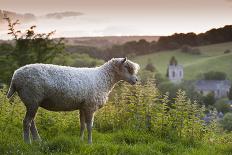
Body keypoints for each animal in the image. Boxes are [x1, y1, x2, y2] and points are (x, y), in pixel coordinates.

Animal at [6, 57, 140, 143]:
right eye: (127, 67)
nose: (136, 80)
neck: (103, 78)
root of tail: (15, 77)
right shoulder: (90, 106)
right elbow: (90, 126)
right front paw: (90, 143)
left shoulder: (83, 106)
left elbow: (82, 125)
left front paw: (81, 141)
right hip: (32, 99)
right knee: (26, 122)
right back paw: (27, 142)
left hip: (32, 102)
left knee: (31, 122)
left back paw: (38, 140)